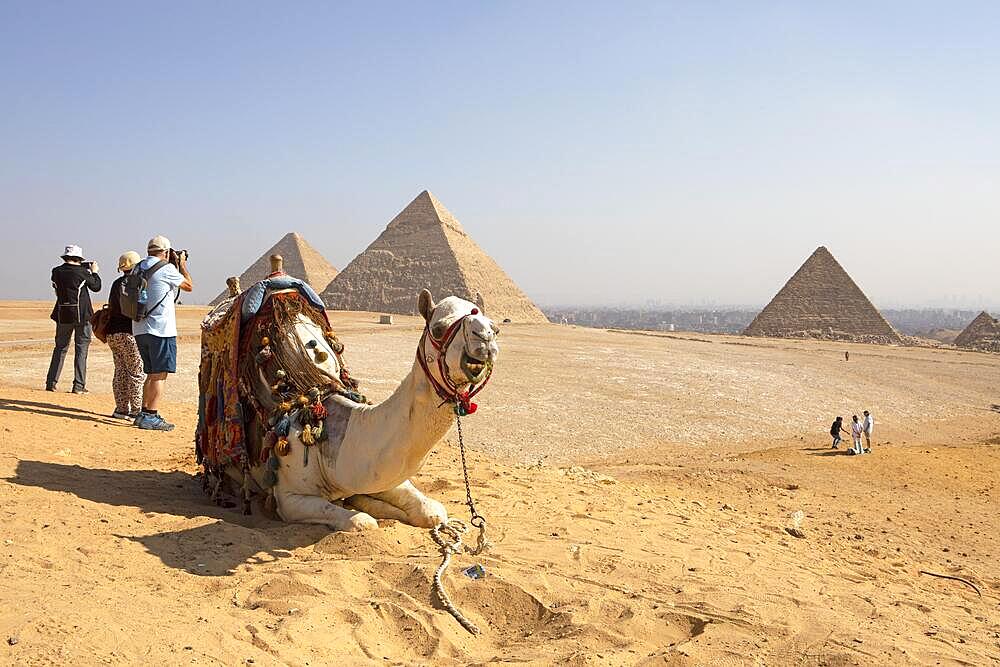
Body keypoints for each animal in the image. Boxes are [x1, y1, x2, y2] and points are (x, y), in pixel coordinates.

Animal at [199, 282, 500, 532]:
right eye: (438, 328)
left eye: (495, 328)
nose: (485, 337)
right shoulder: (288, 498)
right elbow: (361, 522)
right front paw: (360, 509)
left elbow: (432, 511)